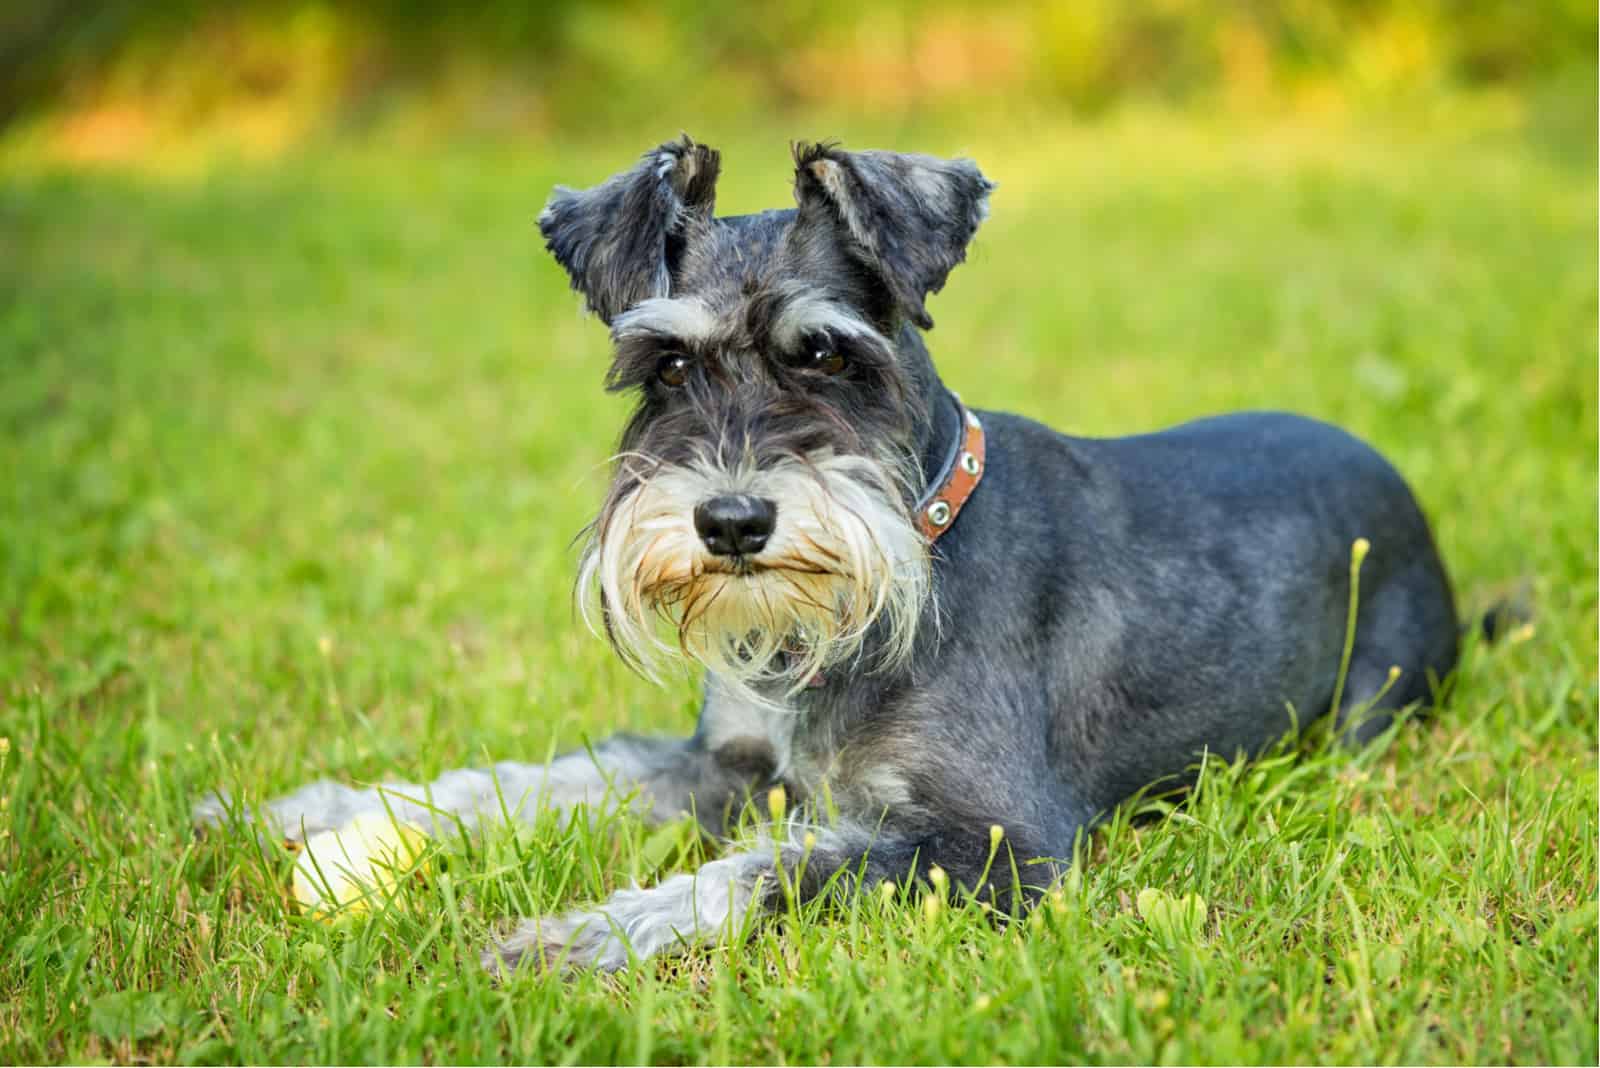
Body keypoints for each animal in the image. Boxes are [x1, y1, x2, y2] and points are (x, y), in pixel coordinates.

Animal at [193, 137, 1465, 972]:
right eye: (665, 366)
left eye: (826, 356)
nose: (730, 524)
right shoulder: (721, 764)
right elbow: (534, 778)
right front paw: (311, 809)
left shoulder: (992, 847)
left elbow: (762, 872)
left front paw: (577, 935)